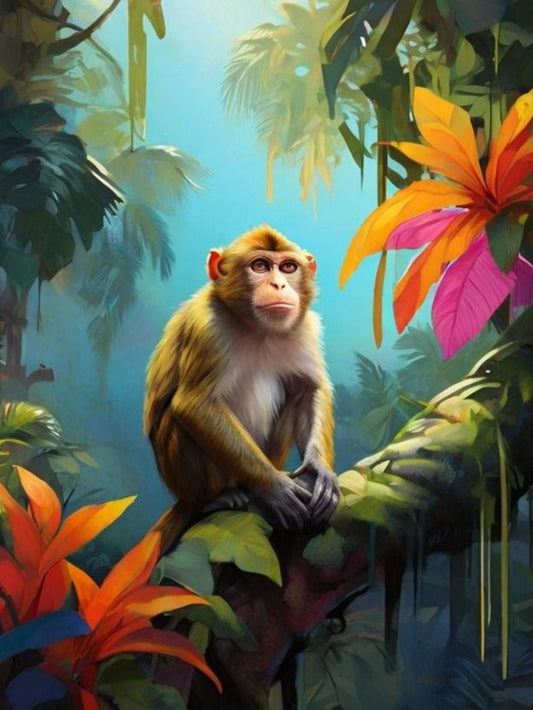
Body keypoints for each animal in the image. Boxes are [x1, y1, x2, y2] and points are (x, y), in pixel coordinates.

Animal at [144, 224, 339, 545]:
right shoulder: (207, 328)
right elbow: (193, 405)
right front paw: (273, 488)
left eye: (288, 267)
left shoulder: (306, 327)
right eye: (259, 266)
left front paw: (319, 467)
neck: (258, 329)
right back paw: (216, 499)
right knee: (178, 420)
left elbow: (308, 389)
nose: (279, 285)